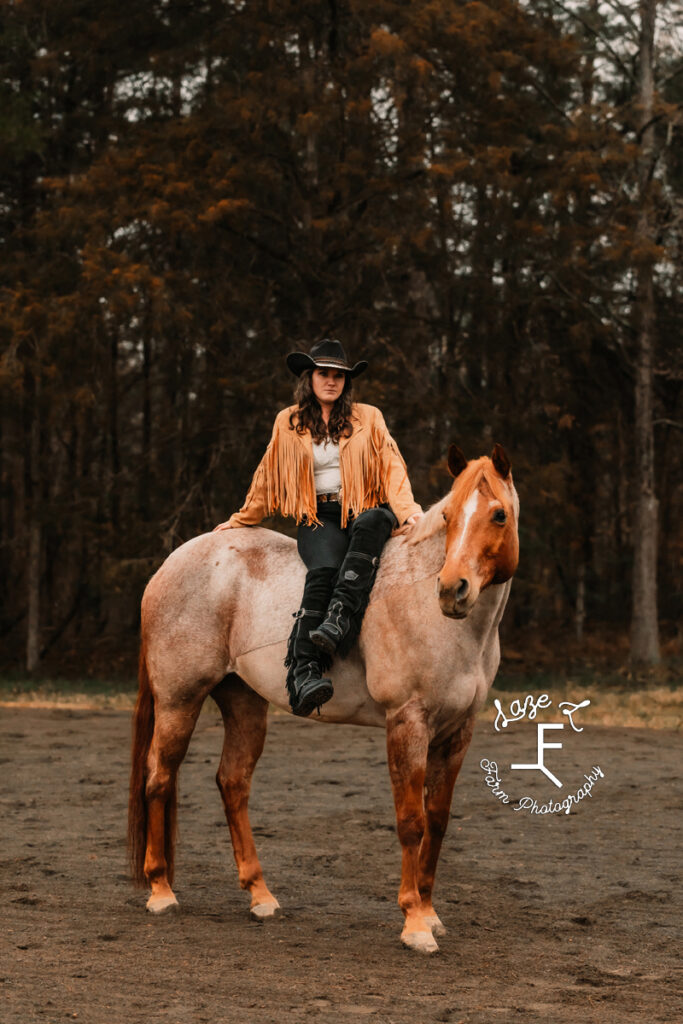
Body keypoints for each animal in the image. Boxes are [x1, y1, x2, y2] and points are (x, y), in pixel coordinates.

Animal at [129, 444, 518, 954]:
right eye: (449, 516)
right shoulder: (407, 722)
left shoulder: (458, 733)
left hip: (244, 703)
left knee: (232, 783)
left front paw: (431, 914)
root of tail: (170, 565)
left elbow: (437, 821)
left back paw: (260, 896)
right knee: (159, 777)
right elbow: (411, 821)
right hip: (179, 699)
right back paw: (161, 890)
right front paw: (414, 922)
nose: (453, 589)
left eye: (498, 514)